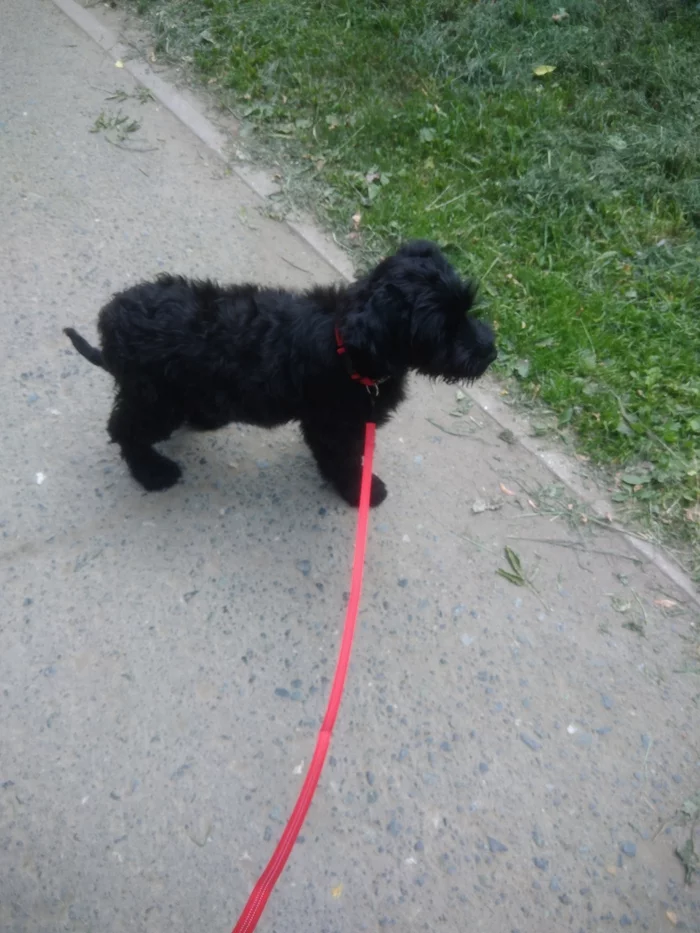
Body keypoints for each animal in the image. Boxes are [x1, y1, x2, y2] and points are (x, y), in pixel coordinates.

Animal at [63, 237, 494, 506]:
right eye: (443, 330)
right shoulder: (335, 427)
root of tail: (110, 322)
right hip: (155, 400)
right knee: (124, 430)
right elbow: (343, 462)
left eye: (466, 309)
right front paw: (363, 492)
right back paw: (152, 473)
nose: (491, 351)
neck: (348, 345)